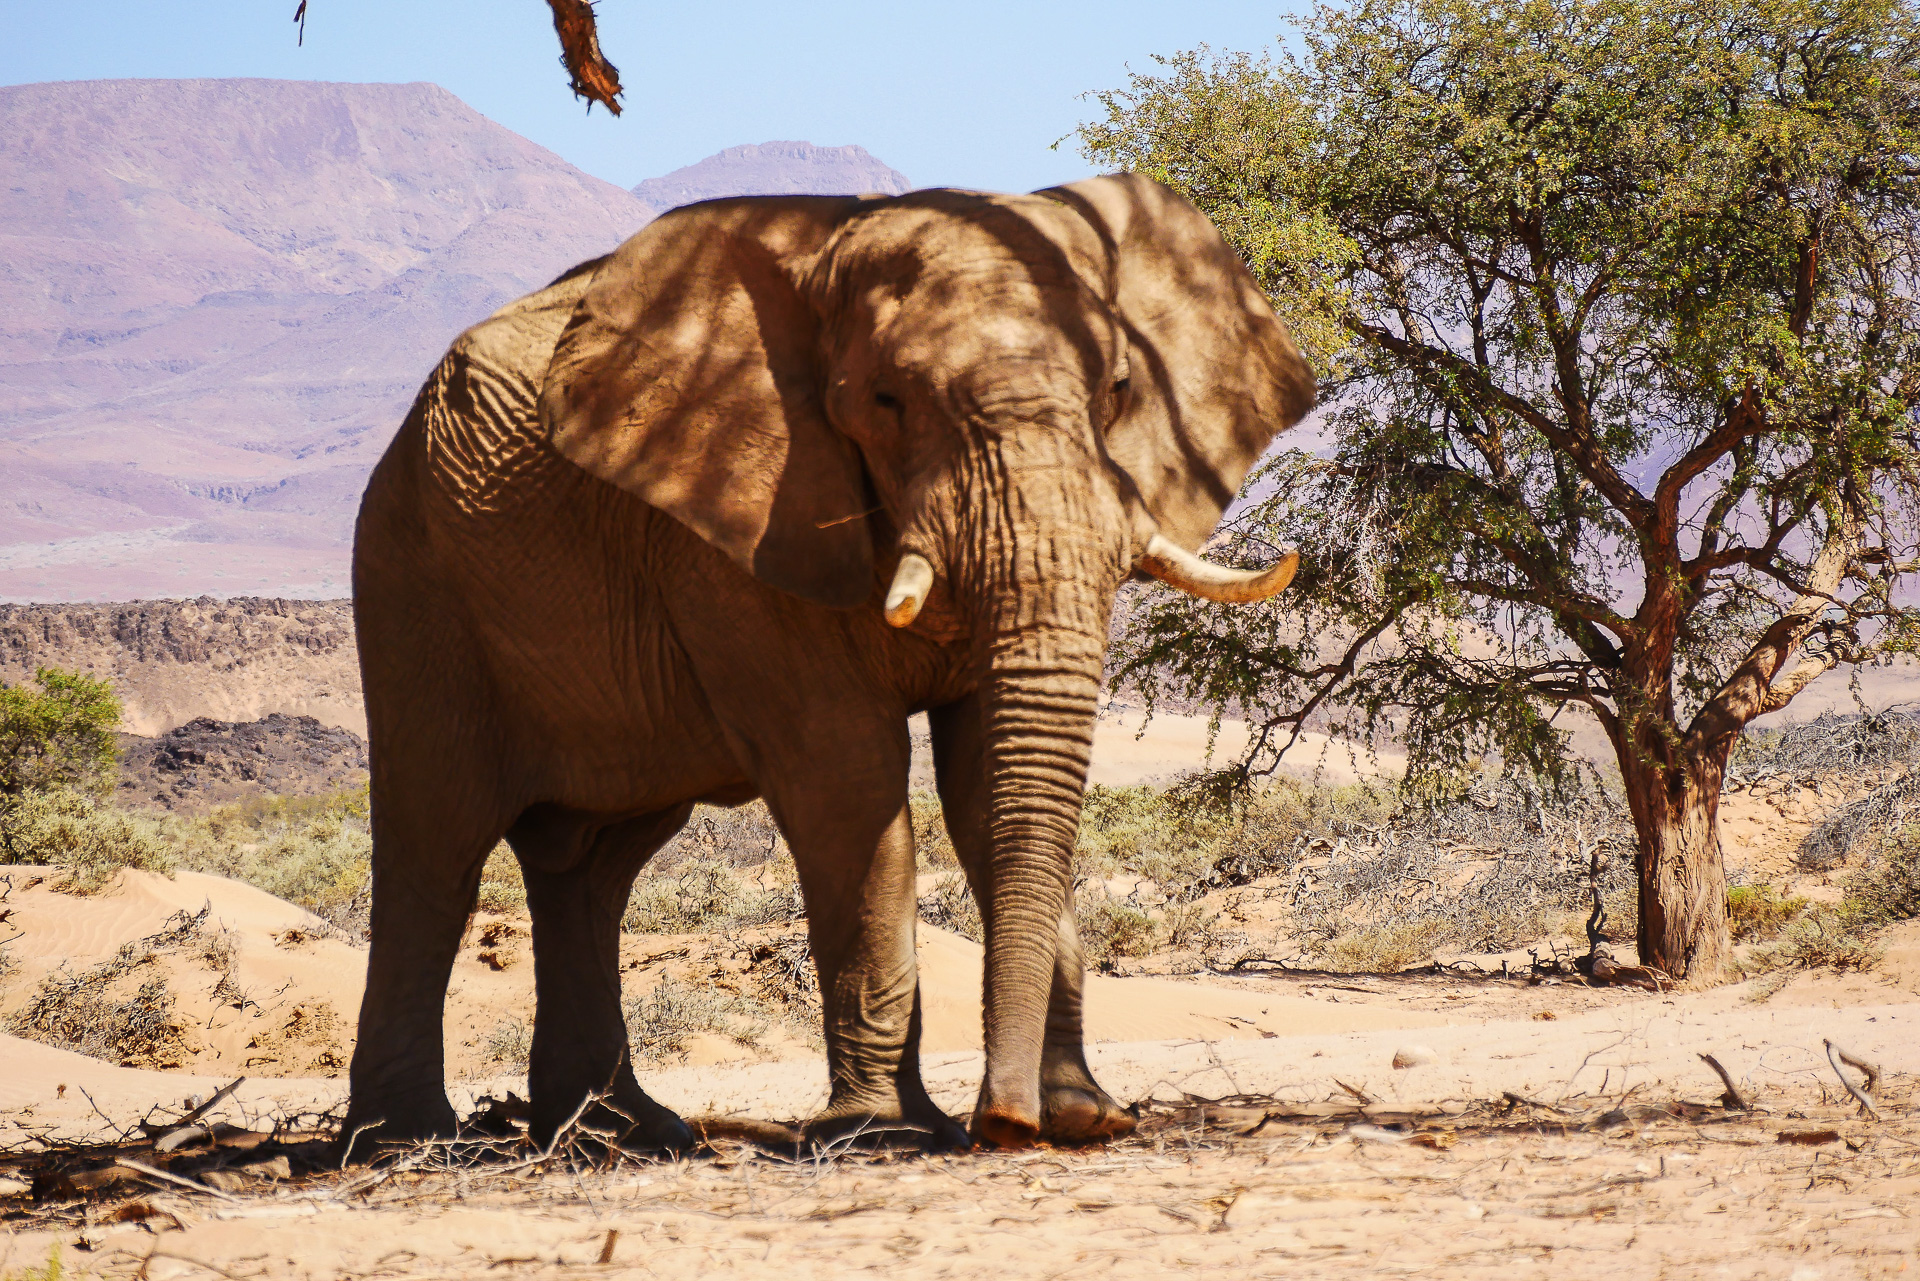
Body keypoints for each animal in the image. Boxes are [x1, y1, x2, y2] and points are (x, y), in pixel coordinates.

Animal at [345, 172, 1313, 1152]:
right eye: (886, 401)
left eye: (1118, 387)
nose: (1003, 1124)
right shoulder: (742, 523)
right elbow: (848, 778)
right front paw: (888, 1134)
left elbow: (984, 781)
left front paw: (1084, 1114)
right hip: (411, 576)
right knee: (437, 846)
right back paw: (410, 1140)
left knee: (595, 866)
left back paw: (623, 1132)